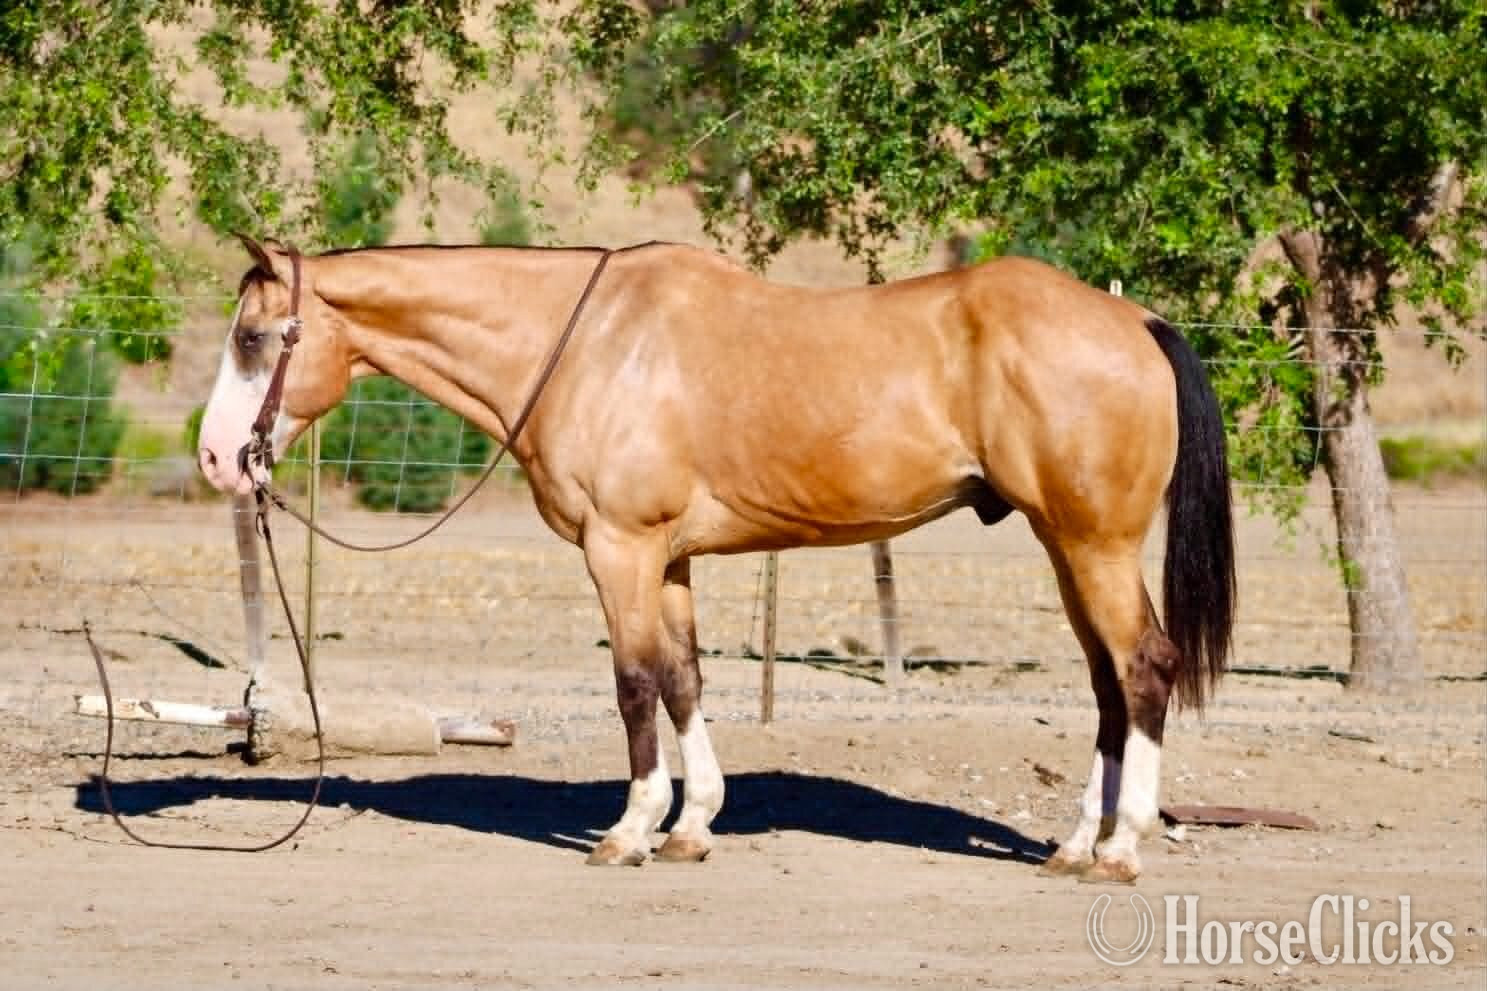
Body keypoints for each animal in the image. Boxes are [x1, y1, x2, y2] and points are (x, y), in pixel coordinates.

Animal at [197, 235, 1235, 882]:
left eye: (252, 338)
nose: (216, 459)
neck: (589, 343)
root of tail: (1134, 321)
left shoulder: (618, 549)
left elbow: (631, 685)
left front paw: (627, 832)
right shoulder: (669, 560)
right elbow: (684, 680)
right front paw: (691, 826)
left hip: (1092, 544)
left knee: (1143, 668)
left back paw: (1119, 850)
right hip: (1065, 546)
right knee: (1108, 686)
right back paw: (1075, 843)